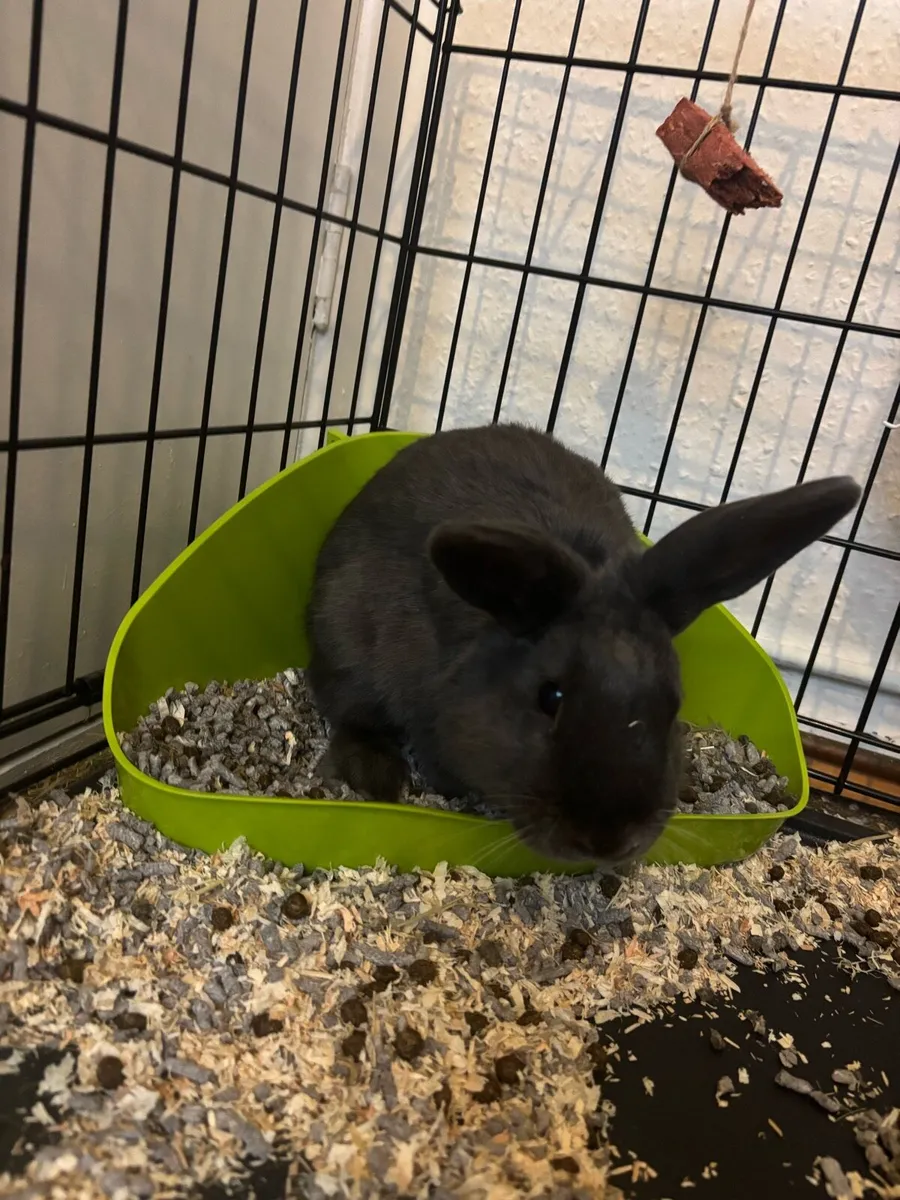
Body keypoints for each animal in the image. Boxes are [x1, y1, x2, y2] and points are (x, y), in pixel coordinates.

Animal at [305, 423, 860, 867]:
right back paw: (376, 776)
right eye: (549, 697)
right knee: (349, 713)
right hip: (342, 645)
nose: (607, 841)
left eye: (673, 706)